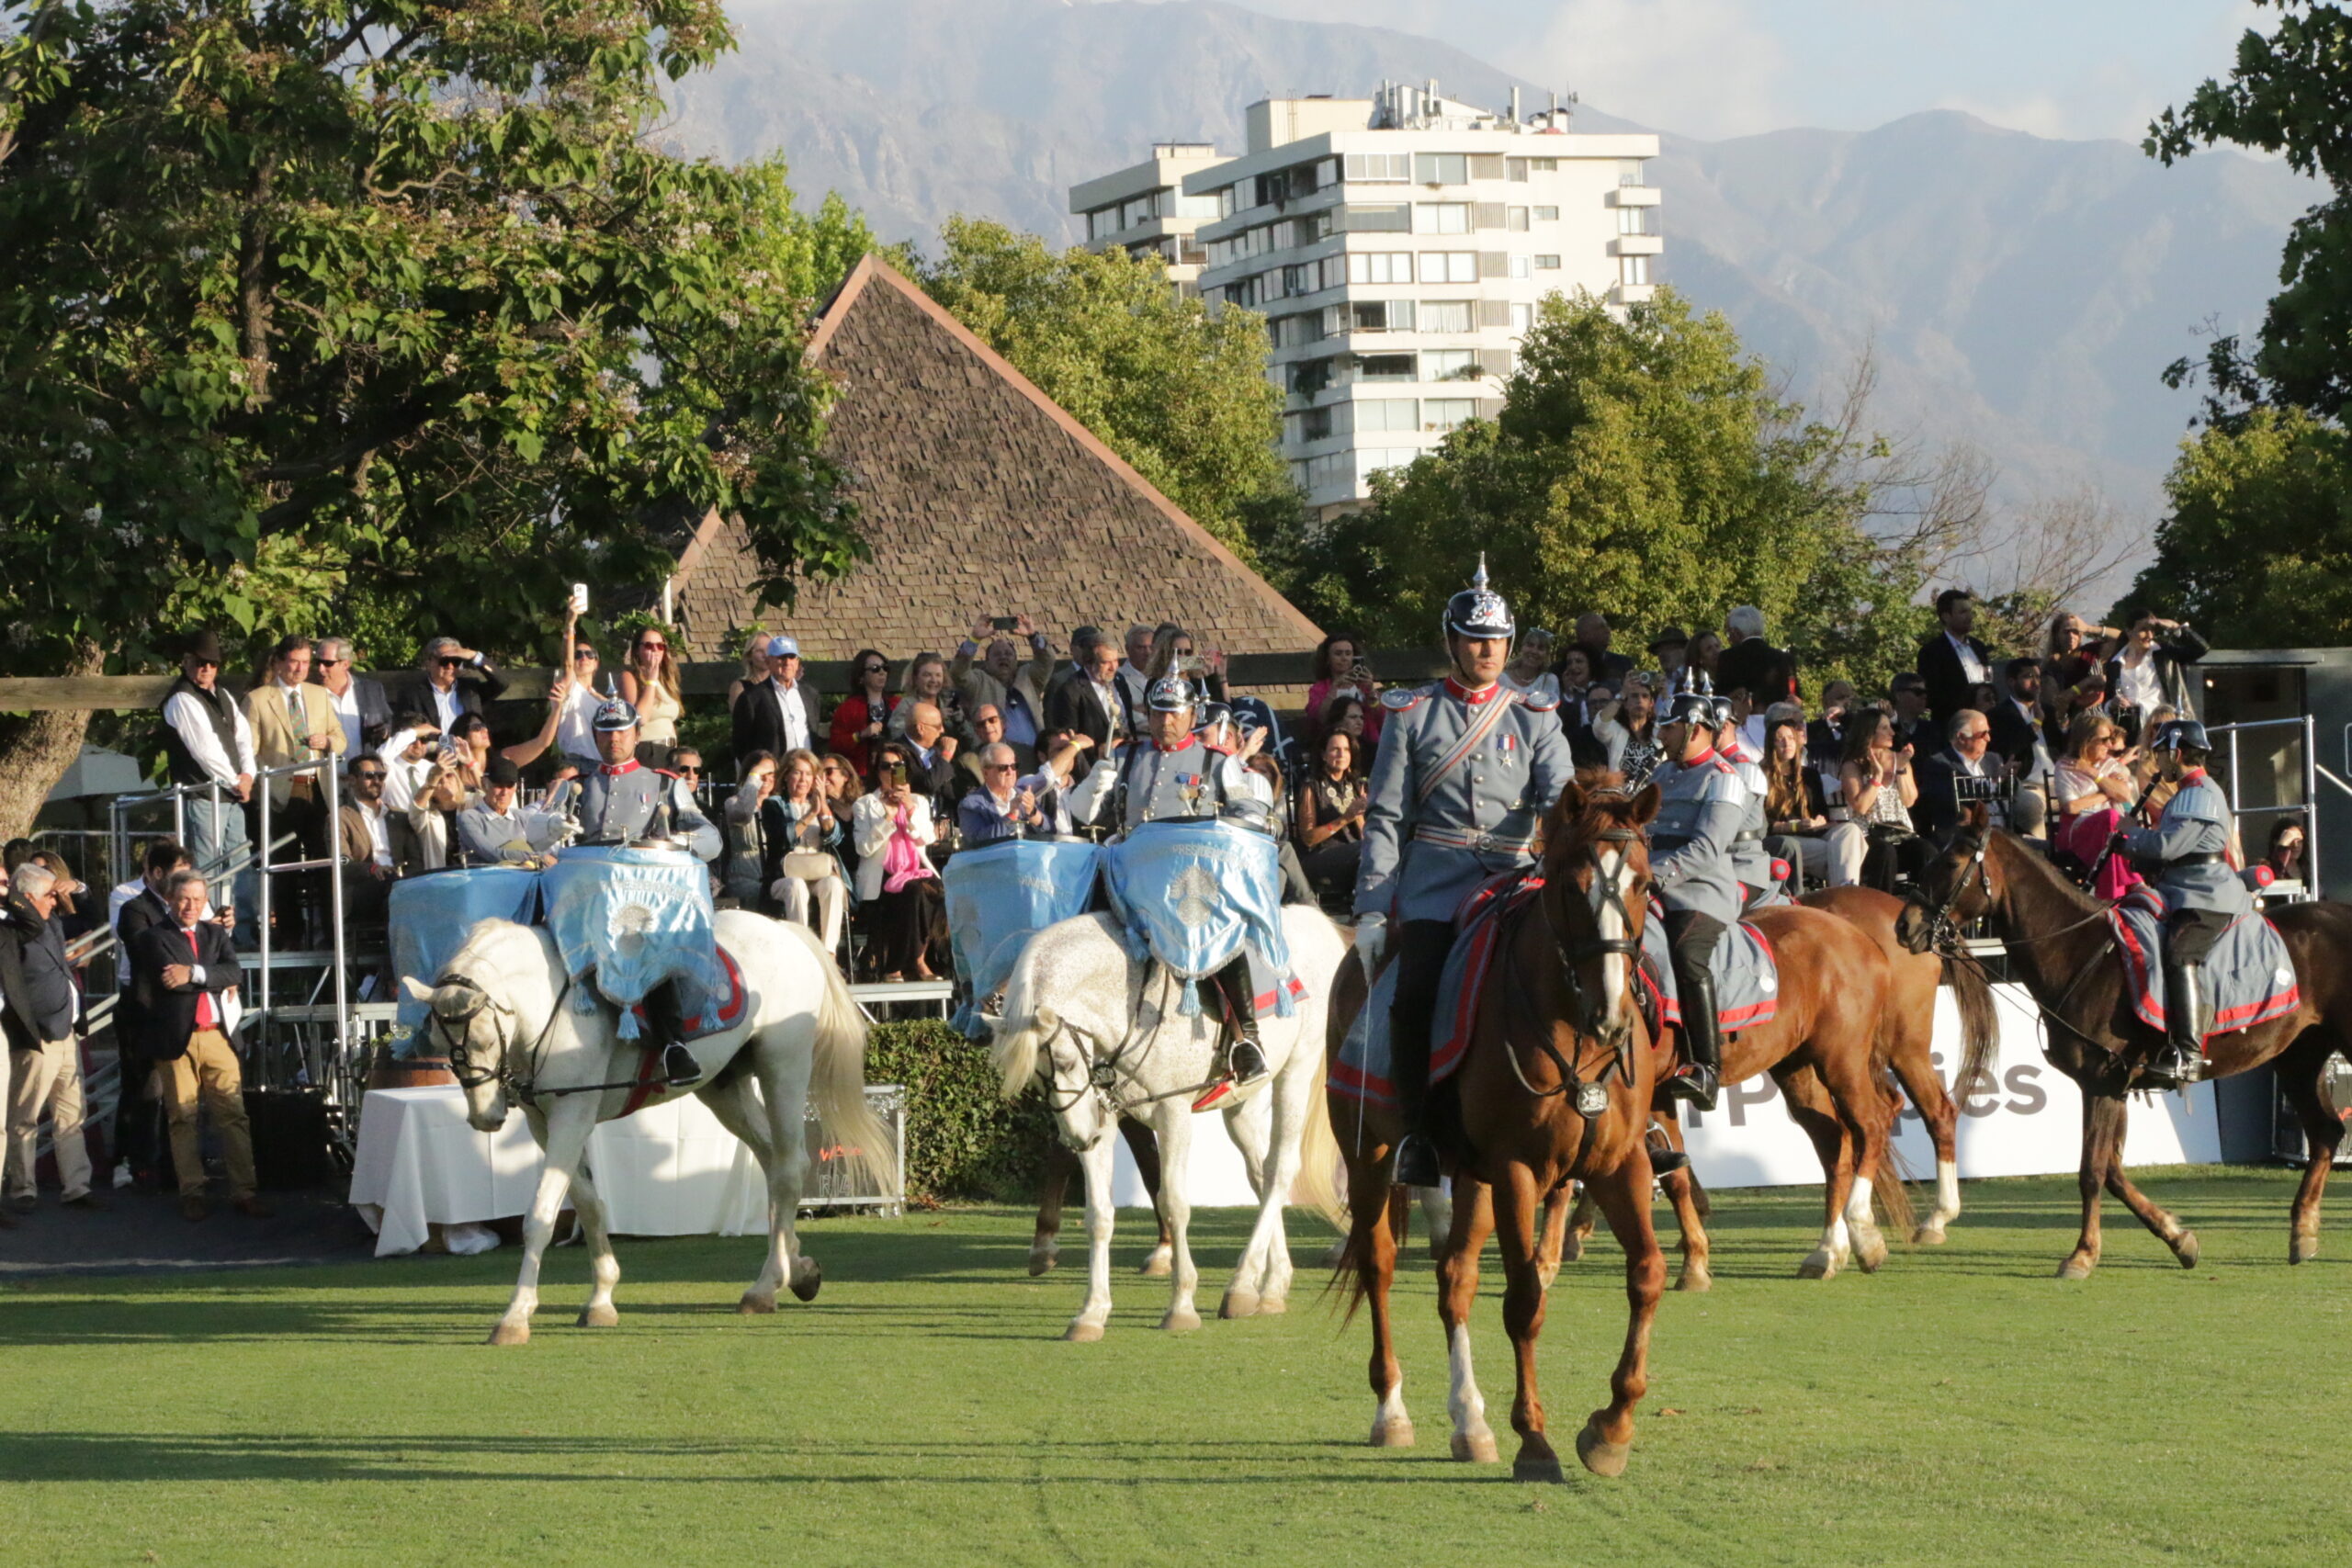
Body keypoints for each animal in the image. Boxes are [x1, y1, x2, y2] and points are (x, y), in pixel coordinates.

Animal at [405, 910, 895, 1344]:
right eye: (440, 1045)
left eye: (484, 1039)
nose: (485, 1118)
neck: (550, 1004)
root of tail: (782, 928)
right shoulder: (544, 1121)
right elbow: (589, 1204)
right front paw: (601, 1299)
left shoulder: (571, 1115)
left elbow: (540, 1217)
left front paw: (515, 1316)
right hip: (725, 1088)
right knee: (773, 1164)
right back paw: (797, 1268)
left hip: (783, 1067)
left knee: (790, 1168)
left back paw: (766, 1285)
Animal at [990, 906, 1347, 1340]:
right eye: (1037, 1078)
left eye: (1065, 1061)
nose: (1077, 1137)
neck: (1129, 1003)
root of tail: (1314, 919)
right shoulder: (1103, 1116)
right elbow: (1099, 1215)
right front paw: (1091, 1312)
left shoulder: (1172, 1112)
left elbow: (1173, 1203)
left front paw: (1181, 1306)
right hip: (1240, 1105)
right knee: (1261, 1176)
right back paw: (1269, 1286)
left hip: (1297, 1071)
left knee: (1280, 1171)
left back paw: (1241, 1284)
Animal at [1901, 810, 2352, 1276]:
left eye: (1951, 863)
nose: (1905, 925)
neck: (2078, 950)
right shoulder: (2112, 1086)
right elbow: (2113, 1169)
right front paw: (2179, 1238)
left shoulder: (2101, 1083)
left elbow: (2092, 1170)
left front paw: (2083, 1253)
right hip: (2298, 1058)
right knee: (2326, 1132)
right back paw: (2302, 1232)